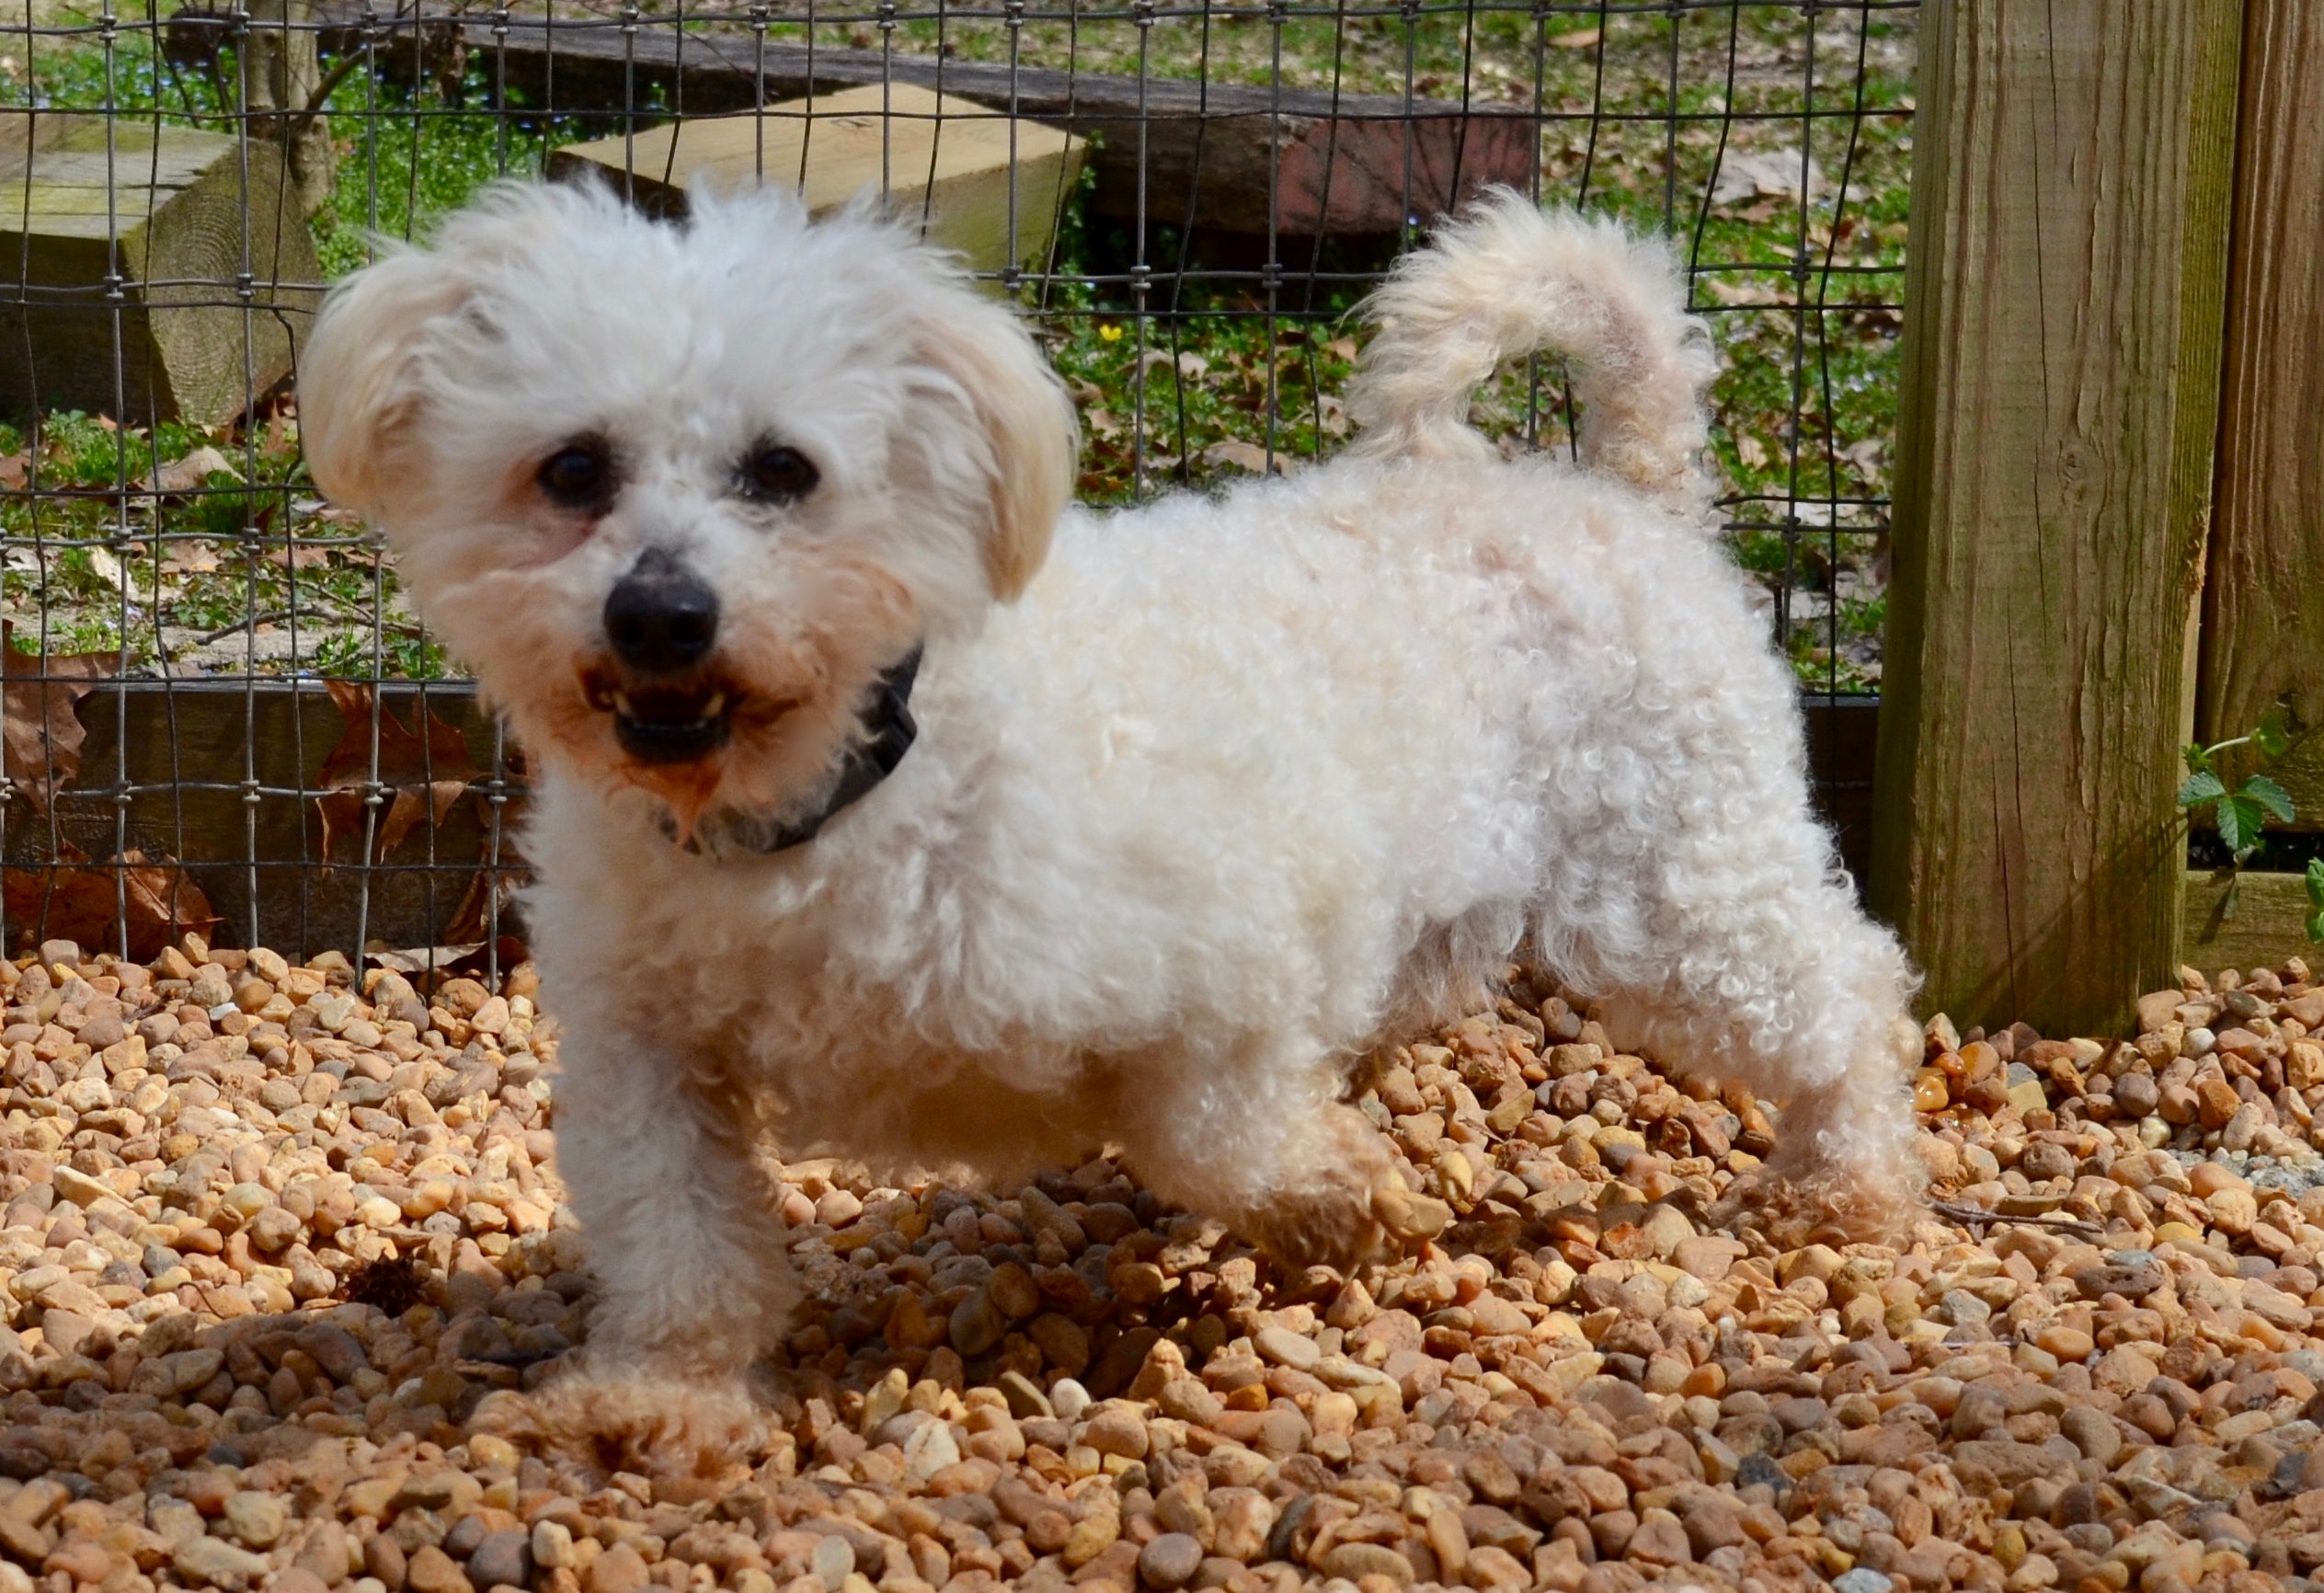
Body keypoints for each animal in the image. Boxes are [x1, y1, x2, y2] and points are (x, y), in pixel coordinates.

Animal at [299, 183, 1915, 1469]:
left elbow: (1211, 1138)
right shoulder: (645, 1049)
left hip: (1676, 892)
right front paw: (657, 1397)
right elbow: (679, 1239)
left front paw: (1339, 1196)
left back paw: (1848, 1183)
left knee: (1848, 996)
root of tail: (1625, 494)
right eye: (572, 468)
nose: (661, 613)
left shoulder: (1233, 966)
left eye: (783, 470)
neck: (837, 802)